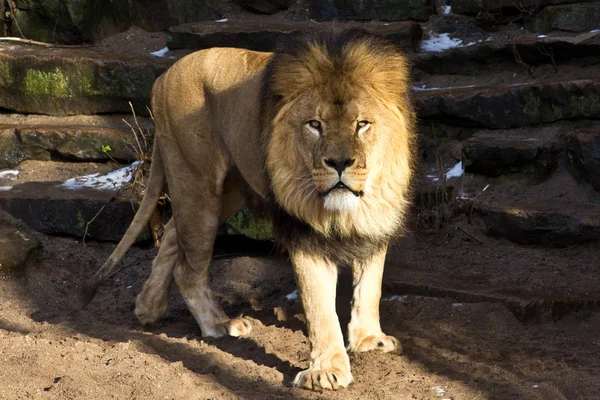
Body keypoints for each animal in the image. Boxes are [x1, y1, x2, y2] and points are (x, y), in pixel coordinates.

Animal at [83, 28, 412, 390]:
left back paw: (149, 307)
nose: (339, 162)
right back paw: (218, 325)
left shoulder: (378, 216)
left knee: (171, 233)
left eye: (362, 124)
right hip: (197, 184)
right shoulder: (300, 227)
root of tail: (162, 77)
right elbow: (318, 305)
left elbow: (371, 284)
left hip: (227, 191)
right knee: (188, 266)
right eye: (315, 124)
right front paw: (325, 370)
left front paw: (369, 339)